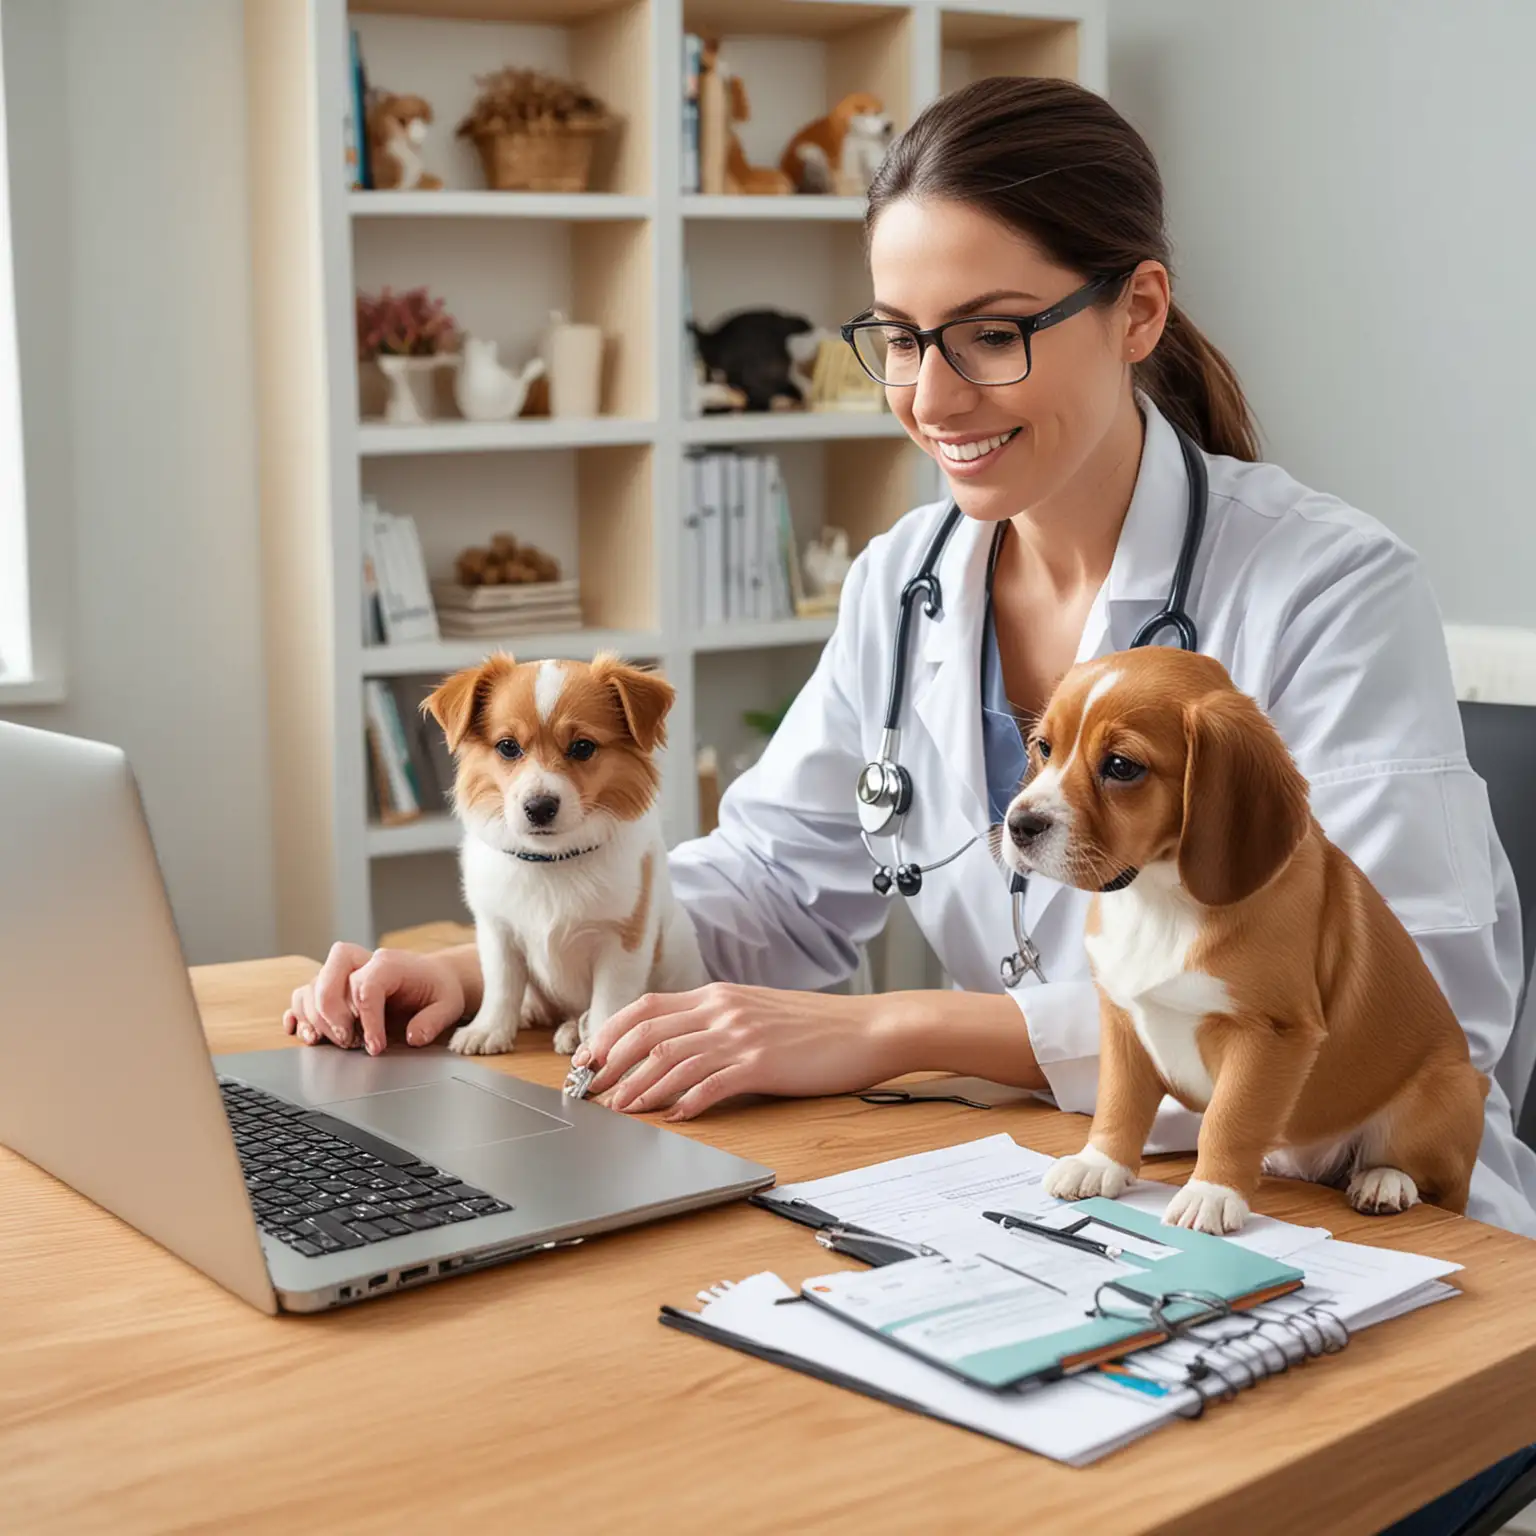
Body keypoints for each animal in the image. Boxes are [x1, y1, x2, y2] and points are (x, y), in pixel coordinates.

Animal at [423, 648, 703, 1056]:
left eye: (582, 747)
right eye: (508, 747)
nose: (539, 807)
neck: (552, 860)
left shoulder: (624, 939)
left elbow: (609, 1002)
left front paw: (601, 1044)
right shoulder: (496, 931)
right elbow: (501, 985)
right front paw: (488, 1029)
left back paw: (575, 1029)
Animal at [1007, 648, 1486, 1234]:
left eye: (1121, 766)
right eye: (1043, 747)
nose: (1019, 824)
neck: (1158, 901)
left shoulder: (1271, 1035)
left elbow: (1229, 1119)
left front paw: (1211, 1194)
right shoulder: (1122, 1022)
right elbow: (1118, 1102)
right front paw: (1100, 1164)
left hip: (1443, 1094)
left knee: (1435, 1183)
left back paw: (1384, 1181)